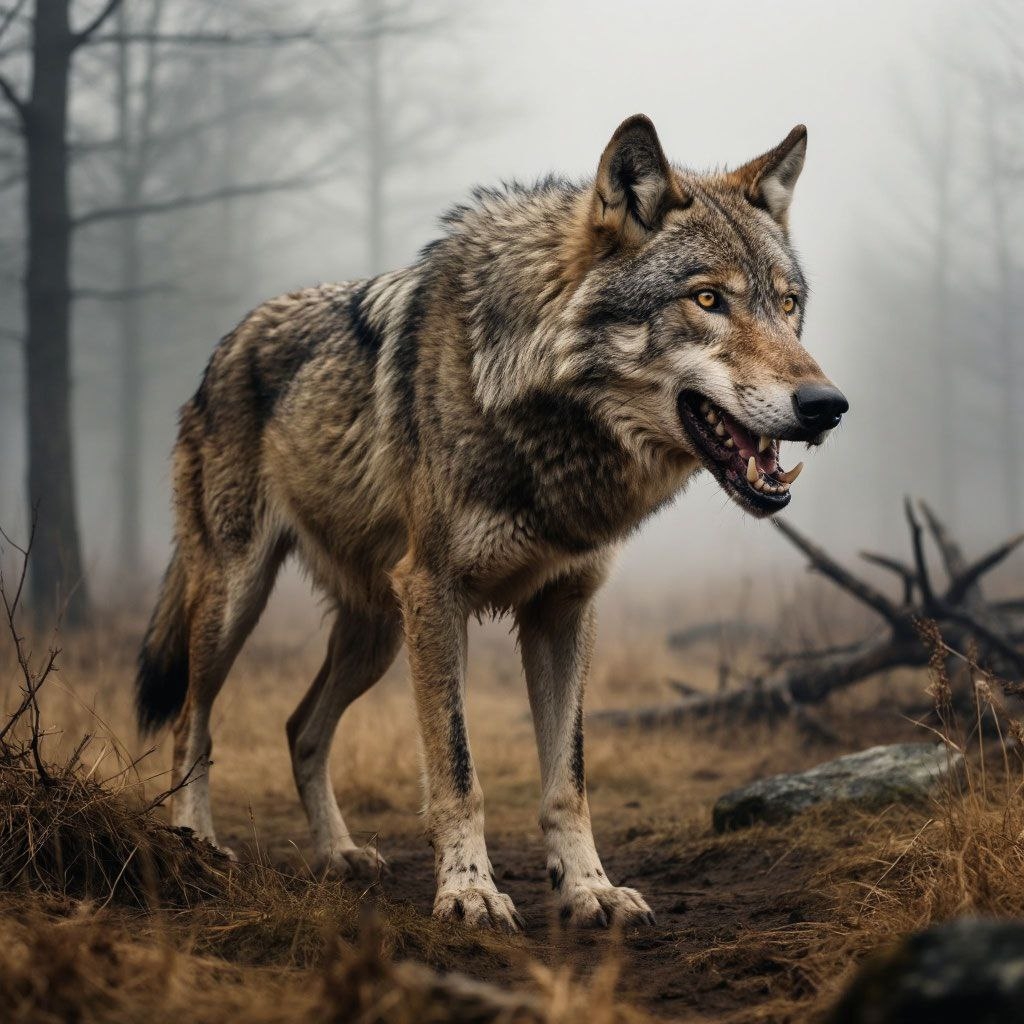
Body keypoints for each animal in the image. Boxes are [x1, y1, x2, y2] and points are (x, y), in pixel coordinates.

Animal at [136, 115, 847, 931]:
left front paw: (589, 888)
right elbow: (458, 771)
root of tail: (223, 347)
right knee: (192, 720)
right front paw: (469, 891)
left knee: (300, 728)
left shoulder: (564, 608)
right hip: (239, 602)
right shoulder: (437, 595)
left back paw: (339, 855)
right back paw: (195, 840)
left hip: (377, 634)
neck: (538, 411)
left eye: (787, 305)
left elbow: (568, 779)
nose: (828, 405)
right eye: (707, 299)